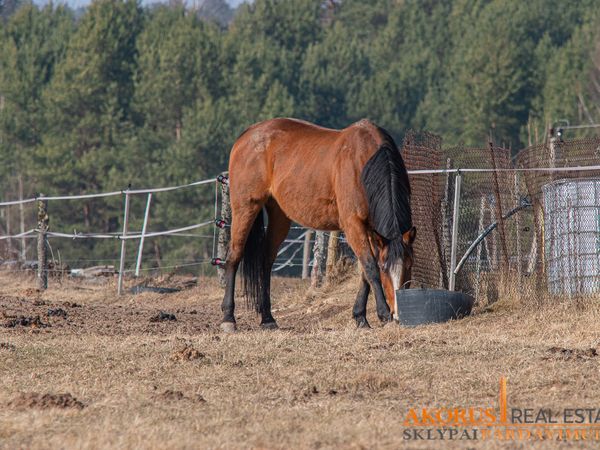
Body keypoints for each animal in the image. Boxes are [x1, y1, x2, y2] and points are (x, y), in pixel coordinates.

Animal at [219, 118, 412, 332]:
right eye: (385, 268)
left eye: (409, 266)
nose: (398, 314)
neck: (365, 163)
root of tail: (247, 135)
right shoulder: (353, 225)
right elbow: (370, 266)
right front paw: (382, 313)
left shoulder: (371, 229)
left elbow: (365, 272)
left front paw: (360, 317)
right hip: (245, 208)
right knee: (233, 256)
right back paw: (229, 318)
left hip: (279, 215)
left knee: (266, 261)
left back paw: (268, 318)